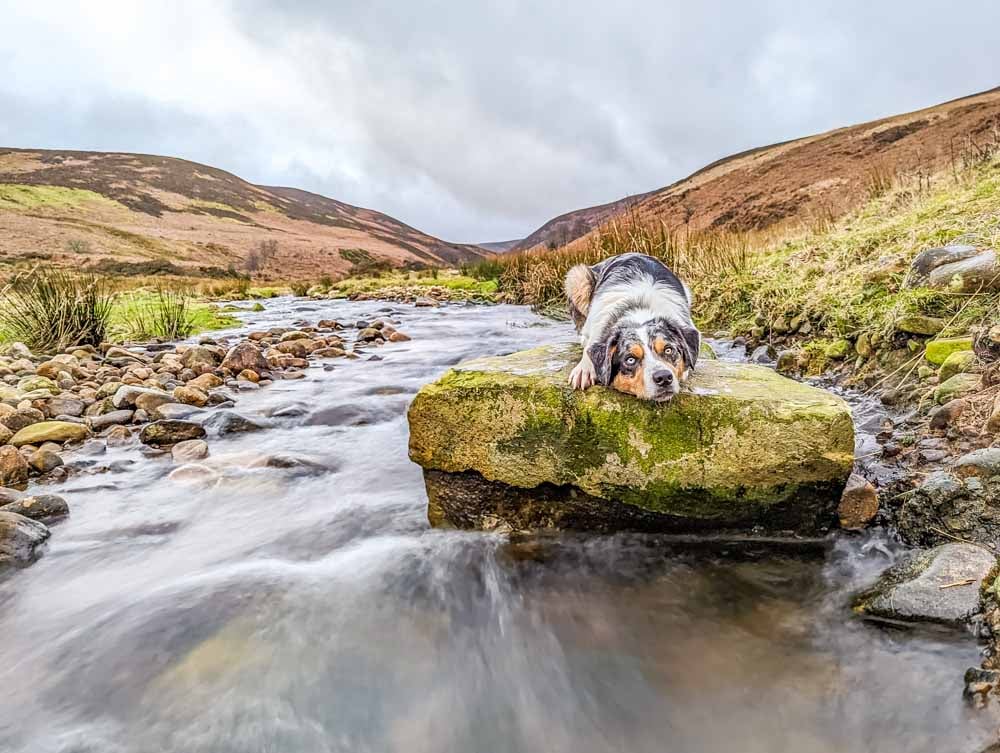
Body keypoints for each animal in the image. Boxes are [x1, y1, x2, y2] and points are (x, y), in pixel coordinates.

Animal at [564, 253, 704, 400]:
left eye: (668, 350)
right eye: (630, 359)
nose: (664, 377)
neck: (640, 313)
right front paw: (584, 370)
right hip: (577, 276)